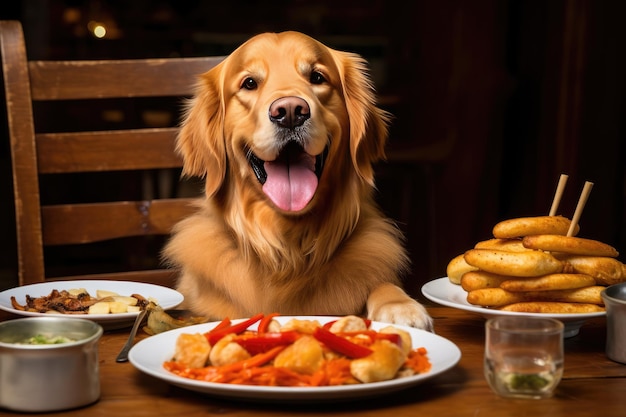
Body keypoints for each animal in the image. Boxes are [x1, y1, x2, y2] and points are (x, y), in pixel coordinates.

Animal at [163, 30, 432, 330]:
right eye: (249, 83)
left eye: (317, 77)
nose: (290, 111)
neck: (287, 251)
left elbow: (382, 284)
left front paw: (399, 306)